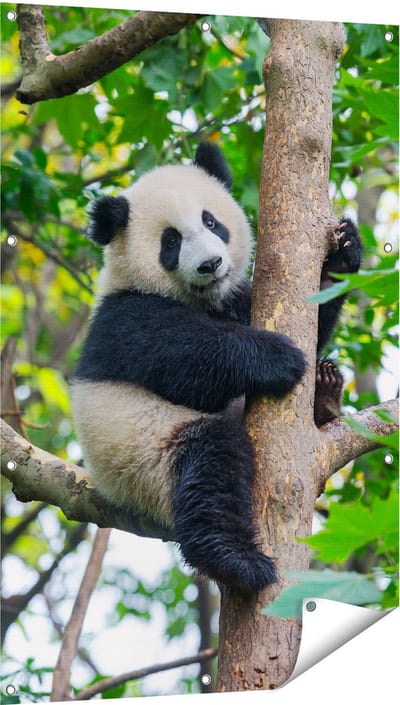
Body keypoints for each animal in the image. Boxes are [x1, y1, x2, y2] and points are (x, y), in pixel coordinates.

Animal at [71, 142, 361, 593]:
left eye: (211, 221)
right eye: (170, 241)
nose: (210, 264)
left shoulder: (234, 300)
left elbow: (313, 316)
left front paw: (342, 254)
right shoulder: (125, 318)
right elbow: (187, 360)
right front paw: (278, 357)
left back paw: (325, 390)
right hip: (144, 457)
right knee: (210, 466)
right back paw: (237, 561)